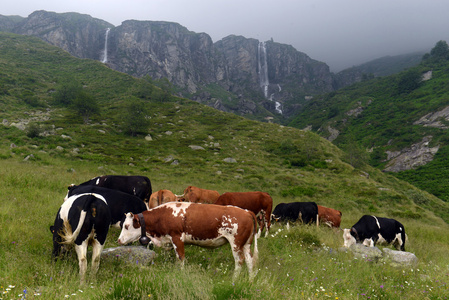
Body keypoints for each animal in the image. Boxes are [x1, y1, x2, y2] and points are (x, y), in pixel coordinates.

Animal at [117, 200, 260, 280]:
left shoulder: (177, 238)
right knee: (250, 261)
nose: (118, 240)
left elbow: (180, 258)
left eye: (126, 226)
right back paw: (250, 281)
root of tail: (246, 211)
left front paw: (180, 274)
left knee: (239, 261)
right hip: (246, 244)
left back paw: (234, 280)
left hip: (236, 243)